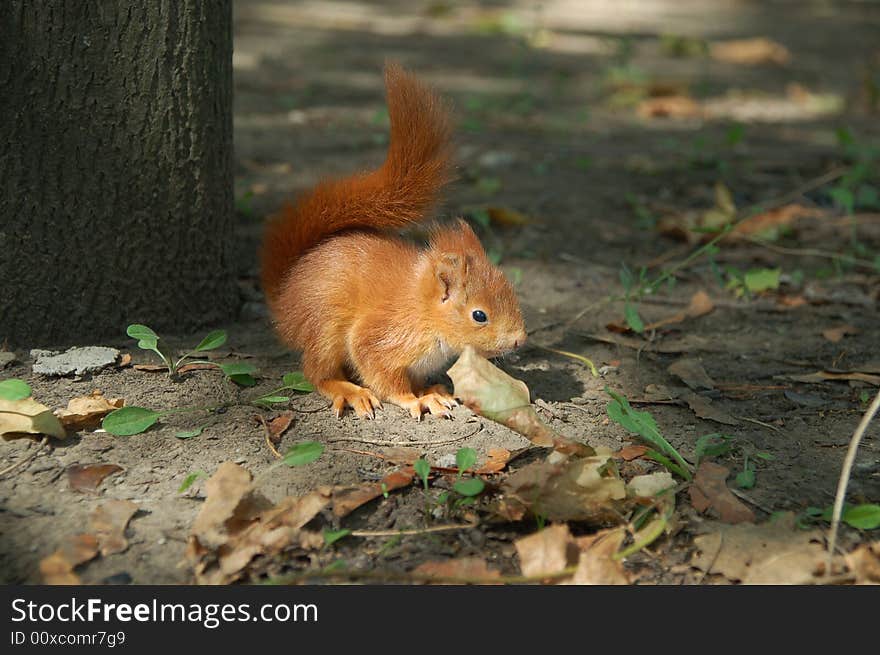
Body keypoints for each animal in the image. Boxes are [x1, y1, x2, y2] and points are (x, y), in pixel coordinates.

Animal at [258, 62, 524, 420]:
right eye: (479, 315)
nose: (520, 340)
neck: (424, 313)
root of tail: (285, 294)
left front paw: (431, 391)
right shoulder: (383, 337)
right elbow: (382, 373)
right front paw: (413, 399)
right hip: (324, 325)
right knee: (318, 372)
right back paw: (348, 391)